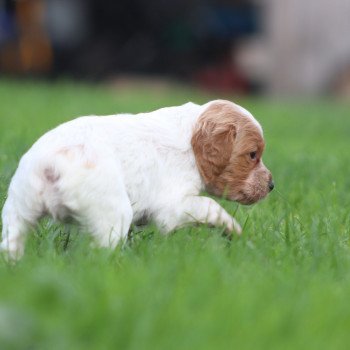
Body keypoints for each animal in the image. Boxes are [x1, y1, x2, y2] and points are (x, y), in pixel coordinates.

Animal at [0, 100, 274, 258]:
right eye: (252, 155)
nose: (272, 185)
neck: (190, 137)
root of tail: (50, 165)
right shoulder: (173, 206)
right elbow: (210, 206)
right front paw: (234, 230)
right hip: (113, 213)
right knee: (100, 253)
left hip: (18, 208)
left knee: (11, 242)